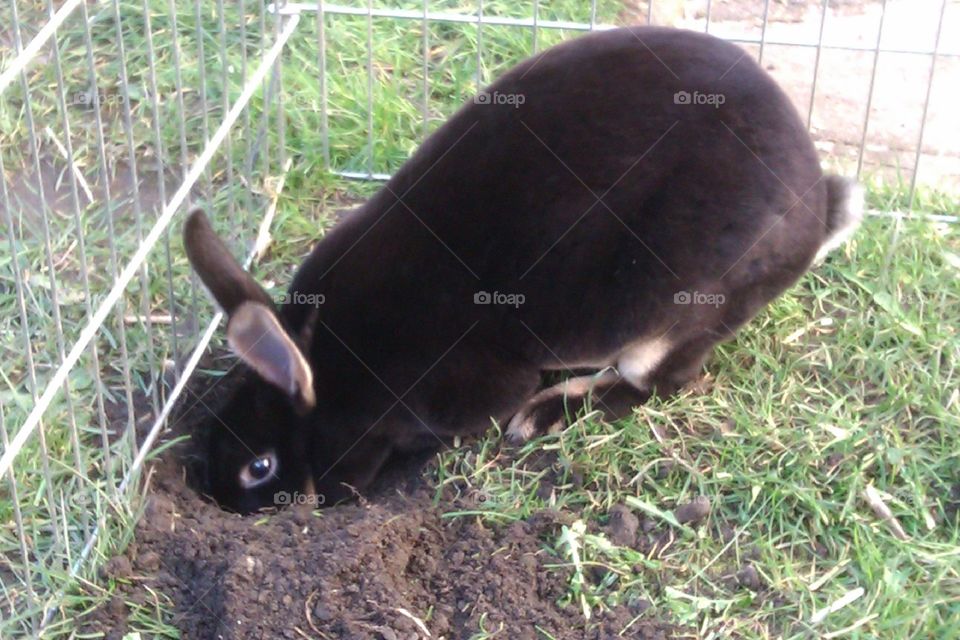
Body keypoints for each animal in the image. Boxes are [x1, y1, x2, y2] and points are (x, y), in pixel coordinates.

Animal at [184, 26, 860, 516]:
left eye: (260, 467)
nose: (219, 499)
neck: (330, 370)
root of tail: (816, 209)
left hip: (681, 310)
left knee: (655, 383)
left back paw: (540, 415)